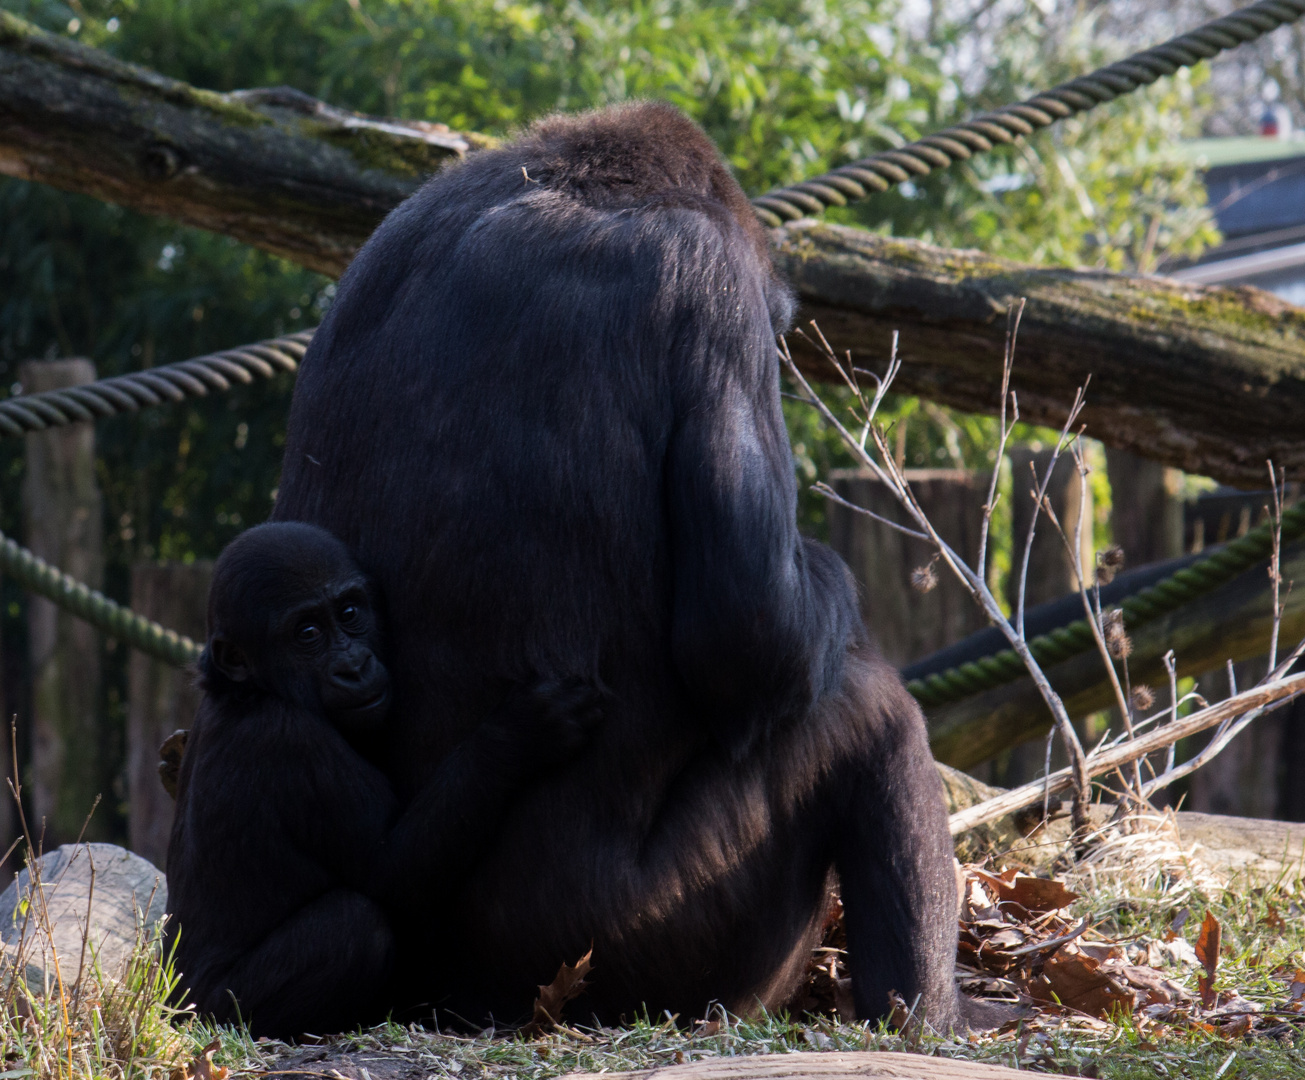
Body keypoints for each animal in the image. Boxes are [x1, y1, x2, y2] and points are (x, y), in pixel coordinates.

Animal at [161, 524, 600, 1038]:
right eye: (307, 634)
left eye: (350, 614)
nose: (353, 666)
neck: (252, 690)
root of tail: (169, 1007)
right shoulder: (294, 744)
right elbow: (391, 870)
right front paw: (519, 731)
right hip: (213, 1010)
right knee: (356, 924)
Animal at [272, 101, 960, 1027]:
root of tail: (462, 999)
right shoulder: (713, 287)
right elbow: (749, 635)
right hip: (652, 941)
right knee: (868, 716)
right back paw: (919, 1014)